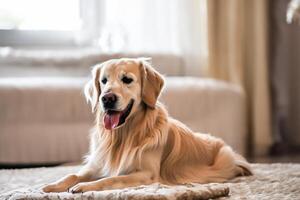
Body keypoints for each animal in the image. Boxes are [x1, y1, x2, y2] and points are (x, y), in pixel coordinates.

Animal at [42, 57, 251, 192]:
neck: (124, 134)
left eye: (127, 79)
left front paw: (83, 187)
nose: (106, 98)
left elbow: (111, 178)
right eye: (103, 81)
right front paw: (53, 185)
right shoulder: (96, 165)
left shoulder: (146, 173)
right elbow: (72, 174)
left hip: (224, 159)